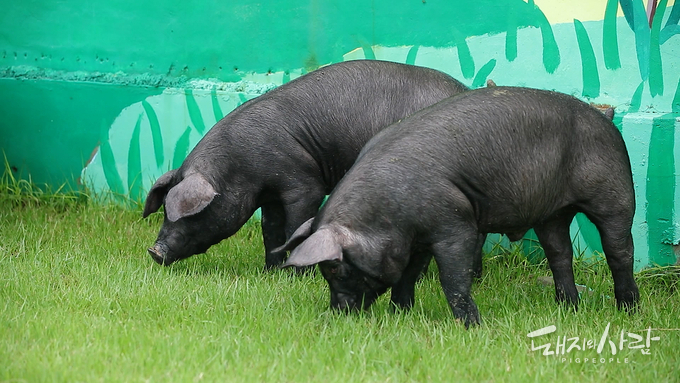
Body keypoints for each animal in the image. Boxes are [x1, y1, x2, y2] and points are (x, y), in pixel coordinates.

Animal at [143, 60, 468, 268]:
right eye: (164, 212)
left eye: (191, 214)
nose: (154, 251)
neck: (241, 167)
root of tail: (463, 90)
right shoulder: (269, 195)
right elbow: (271, 230)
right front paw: (271, 270)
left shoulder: (302, 182)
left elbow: (295, 223)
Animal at [278, 86, 640, 328]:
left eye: (336, 269)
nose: (338, 312)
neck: (388, 217)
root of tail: (604, 116)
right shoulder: (416, 239)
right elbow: (407, 276)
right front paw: (399, 313)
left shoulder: (455, 227)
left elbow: (452, 280)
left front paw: (472, 327)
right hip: (552, 215)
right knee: (559, 254)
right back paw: (568, 308)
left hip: (616, 194)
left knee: (620, 251)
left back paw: (629, 310)